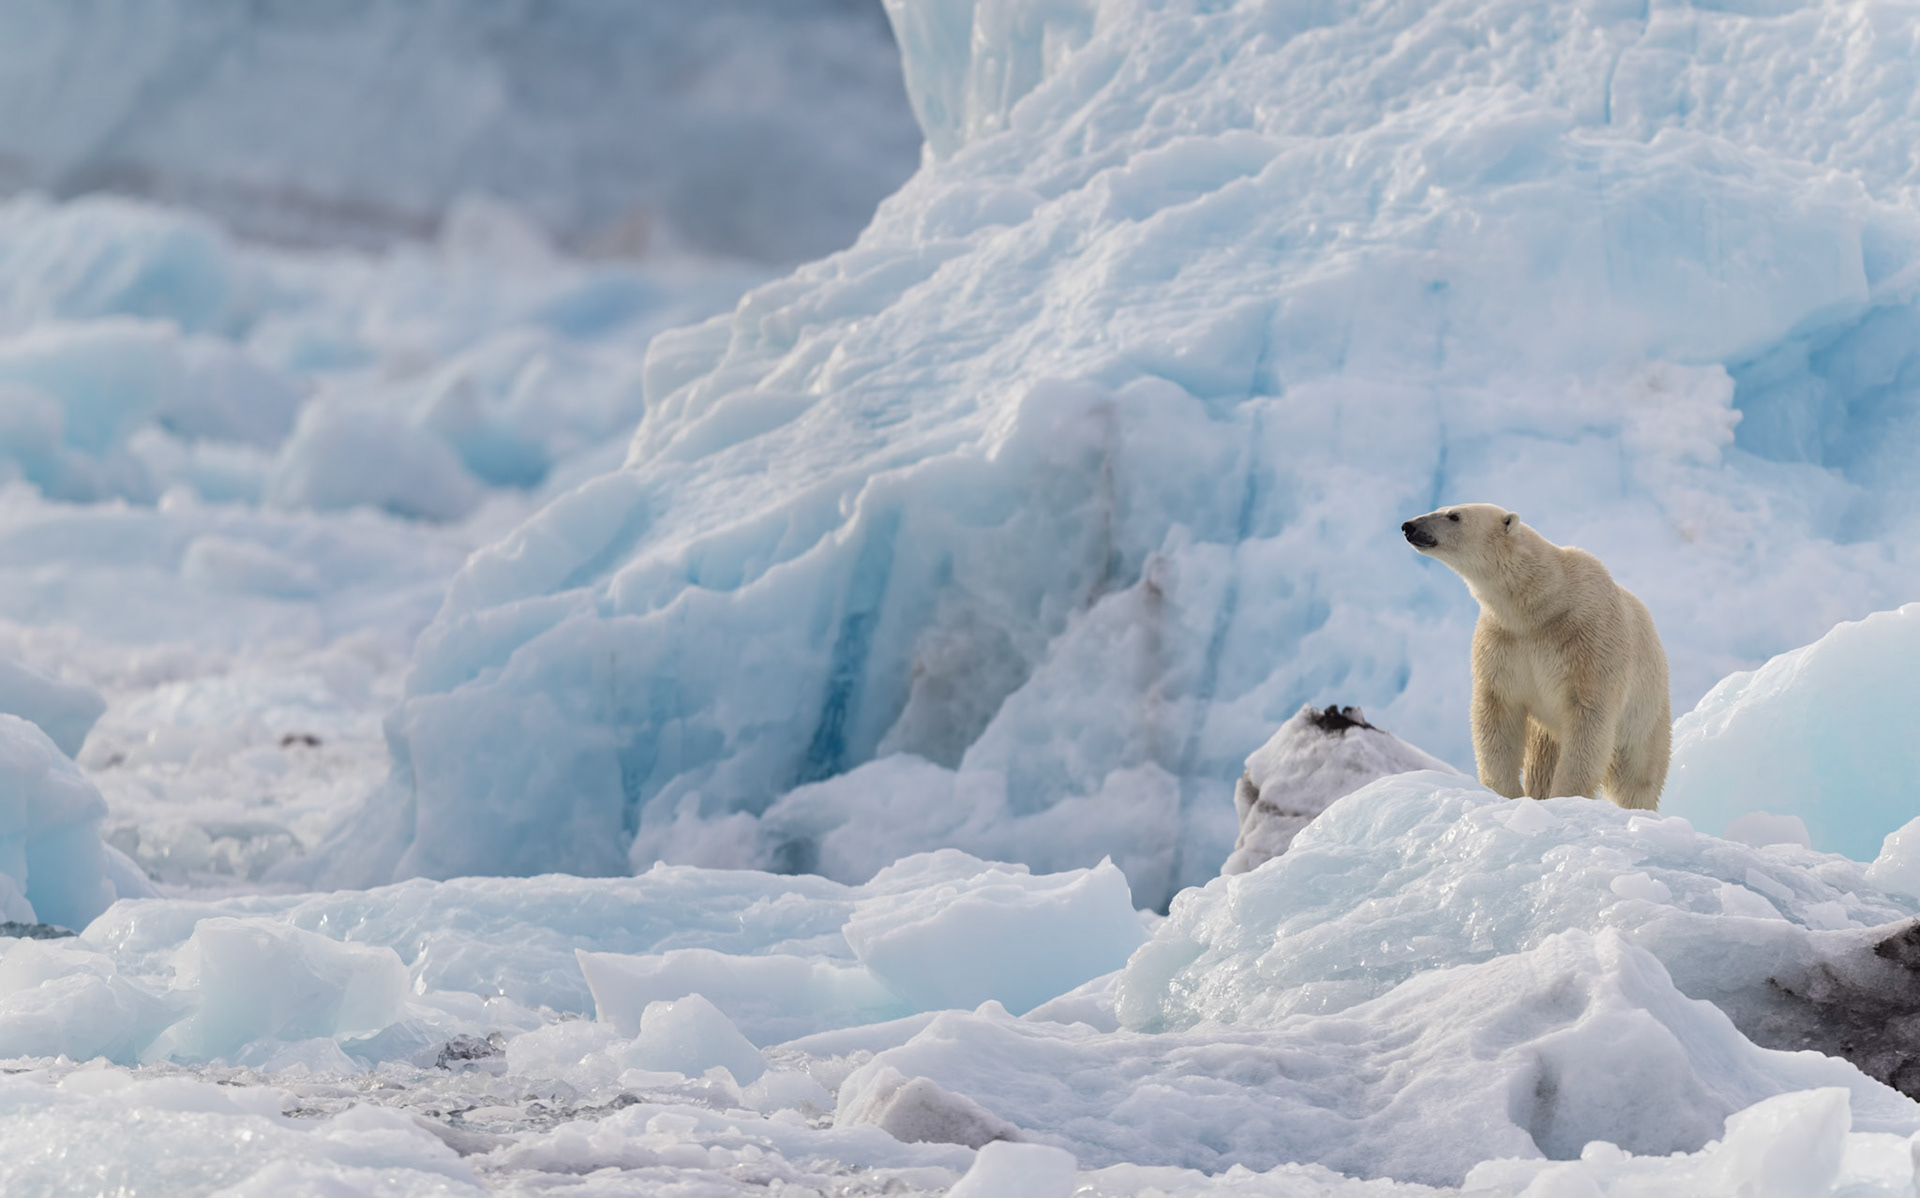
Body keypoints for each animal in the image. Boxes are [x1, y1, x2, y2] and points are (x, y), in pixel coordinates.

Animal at [1401, 504, 1669, 810]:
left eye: (1453, 515)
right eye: (1439, 509)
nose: (1409, 526)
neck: (1541, 605)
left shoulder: (1590, 642)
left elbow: (1589, 717)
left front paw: (1566, 796)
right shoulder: (1503, 643)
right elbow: (1497, 711)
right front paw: (1506, 792)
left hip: (1646, 714)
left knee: (1637, 772)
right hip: (1546, 730)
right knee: (1541, 761)